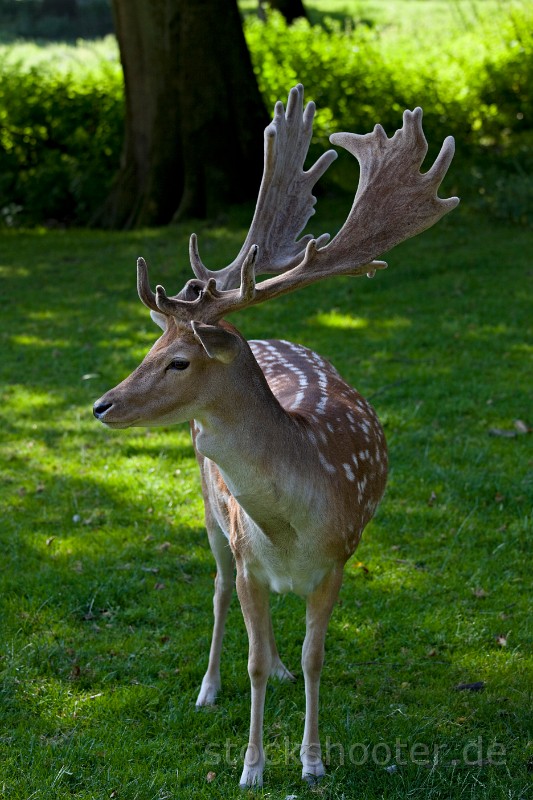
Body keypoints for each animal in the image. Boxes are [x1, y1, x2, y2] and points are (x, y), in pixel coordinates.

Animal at [93, 84, 458, 787]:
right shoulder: (246, 559)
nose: (103, 404)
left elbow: (316, 657)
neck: (289, 524)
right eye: (153, 347)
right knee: (213, 592)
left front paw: (312, 762)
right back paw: (208, 688)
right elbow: (253, 660)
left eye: (179, 361)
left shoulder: (339, 558)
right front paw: (254, 767)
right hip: (210, 515)